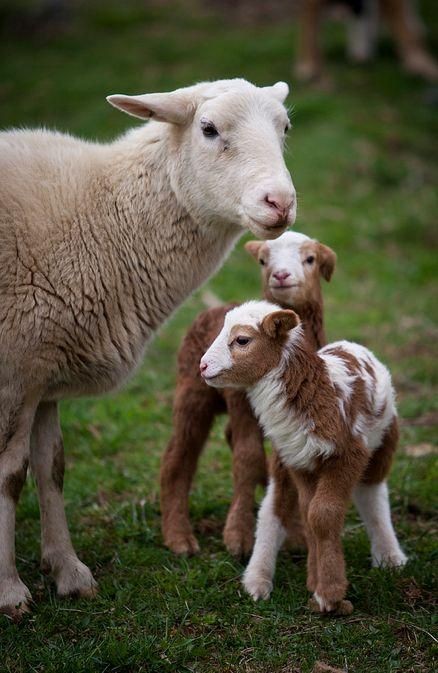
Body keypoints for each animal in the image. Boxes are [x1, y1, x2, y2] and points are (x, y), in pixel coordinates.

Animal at [0, 79, 298, 620]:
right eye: (208, 129)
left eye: (284, 127)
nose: (280, 202)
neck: (98, 221)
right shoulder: (16, 371)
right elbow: (10, 476)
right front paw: (9, 591)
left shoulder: (44, 372)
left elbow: (52, 468)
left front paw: (69, 573)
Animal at [201, 302, 408, 612]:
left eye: (242, 340)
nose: (202, 366)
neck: (317, 391)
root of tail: (352, 345)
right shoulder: (300, 461)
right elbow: (310, 515)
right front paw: (317, 581)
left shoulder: (349, 455)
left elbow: (323, 514)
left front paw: (330, 593)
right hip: (284, 458)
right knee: (274, 507)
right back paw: (257, 579)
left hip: (384, 438)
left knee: (372, 493)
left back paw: (390, 556)